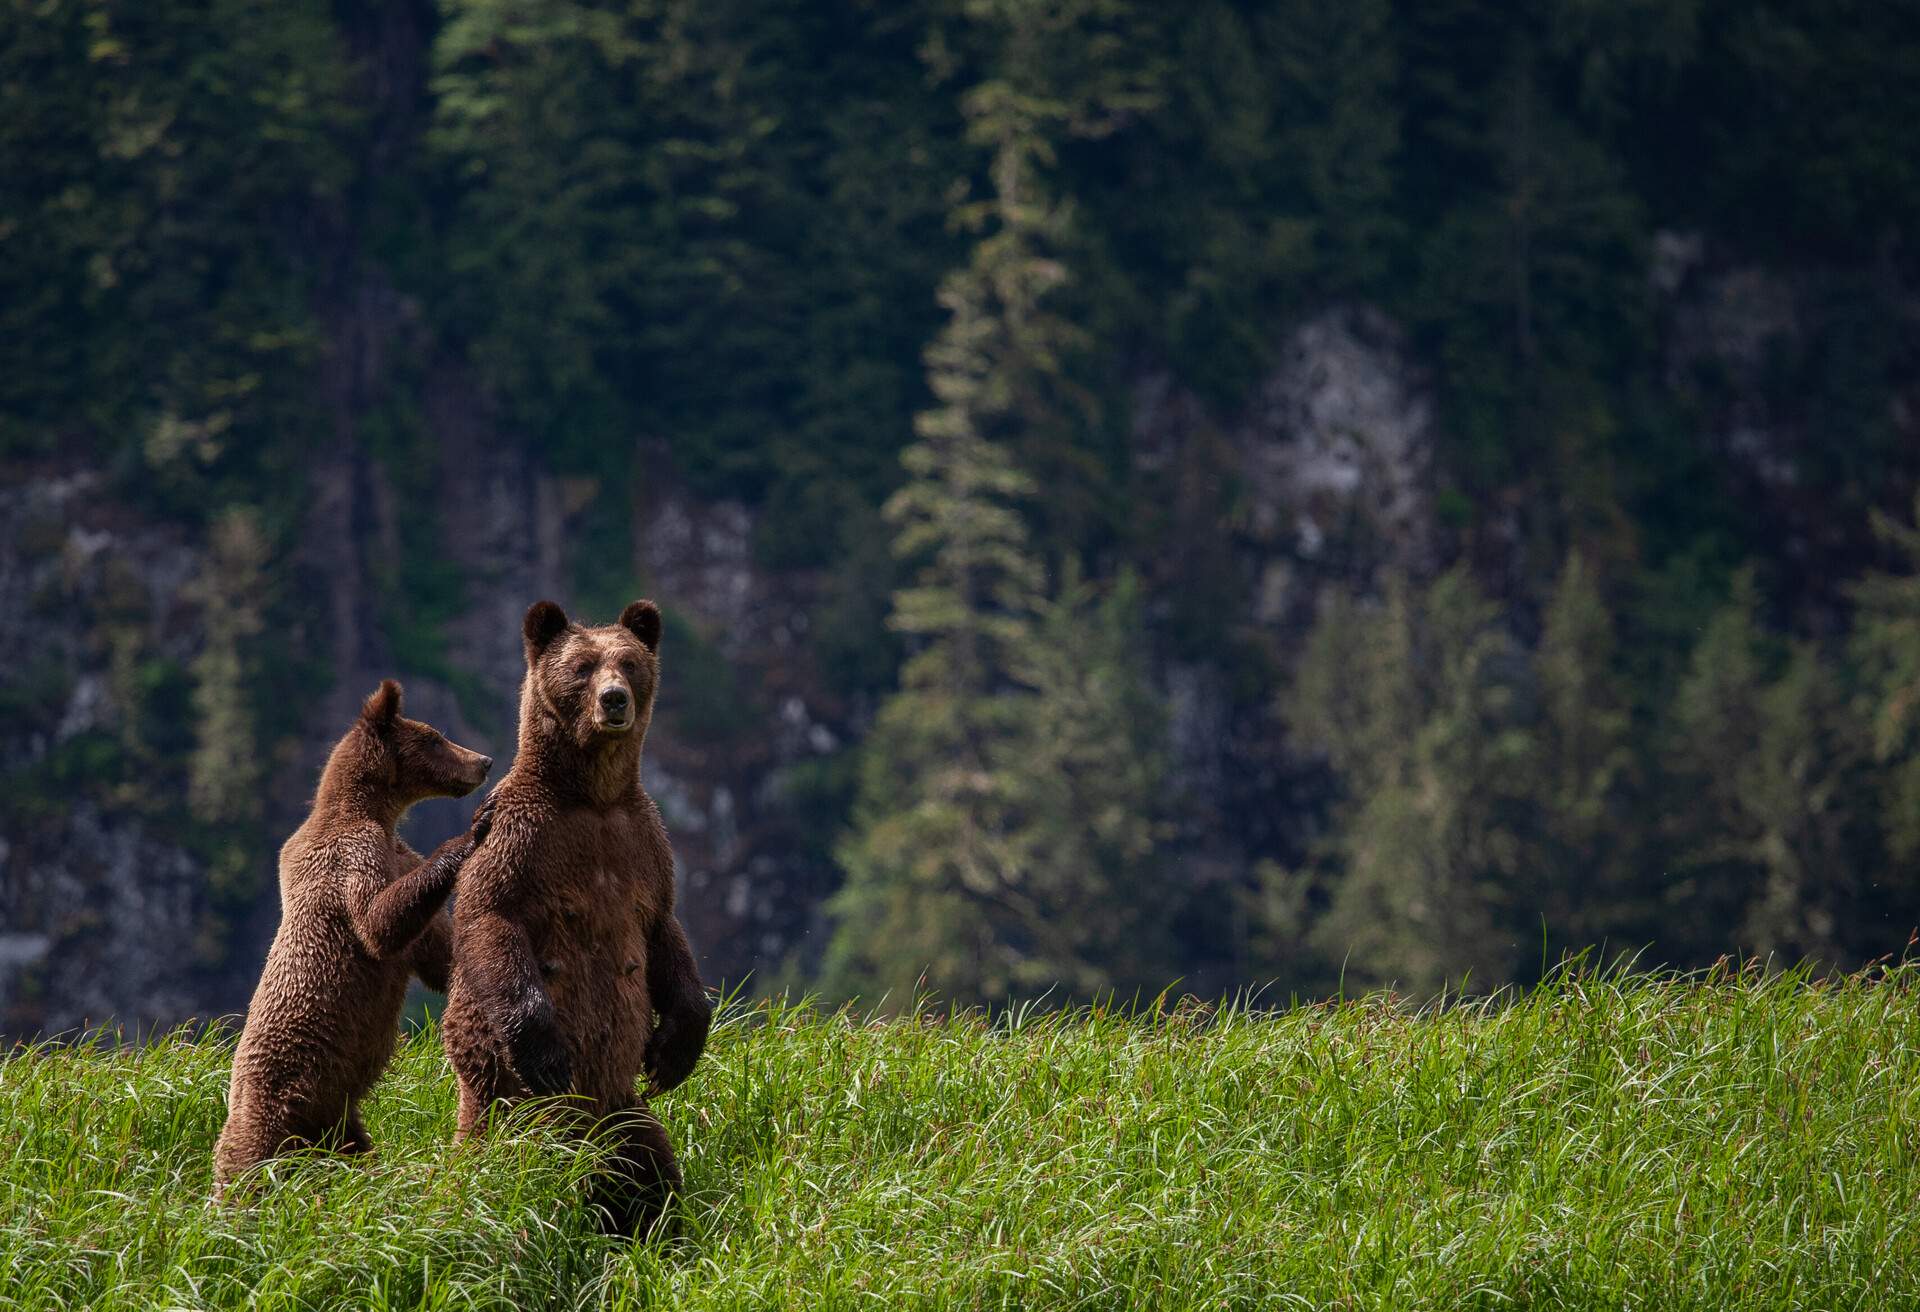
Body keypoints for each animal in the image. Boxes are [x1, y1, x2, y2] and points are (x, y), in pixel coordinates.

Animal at [213, 676, 491, 1190]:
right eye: (435, 737)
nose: (482, 761)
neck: (372, 812)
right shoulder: (349, 859)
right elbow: (377, 924)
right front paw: (470, 833)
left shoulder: (396, 857)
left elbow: (434, 951)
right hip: (274, 1100)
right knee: (245, 1162)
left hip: (337, 1118)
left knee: (354, 1151)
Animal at [441, 599, 714, 1237]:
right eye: (584, 666)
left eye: (630, 663)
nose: (615, 699)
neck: (591, 796)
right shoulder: (520, 838)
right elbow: (491, 920)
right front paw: (546, 1051)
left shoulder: (643, 844)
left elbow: (665, 935)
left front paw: (673, 1053)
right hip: (513, 1108)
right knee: (509, 1170)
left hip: (622, 1112)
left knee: (650, 1164)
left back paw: (659, 1225)